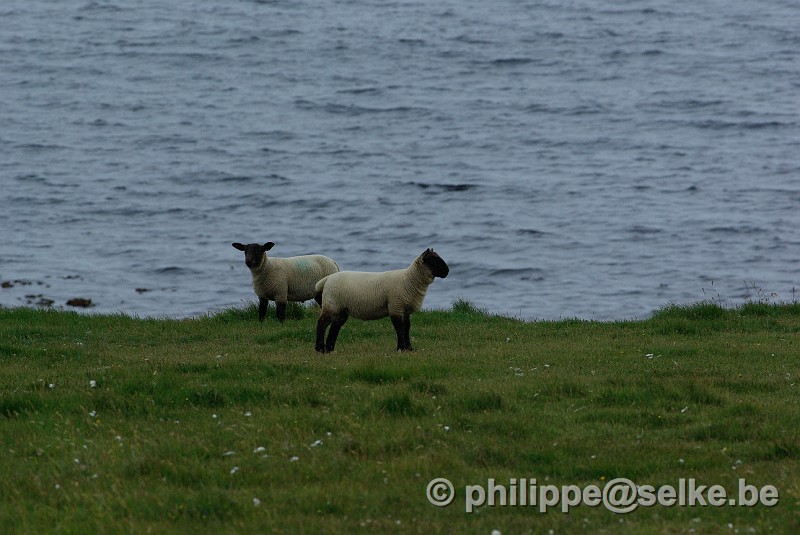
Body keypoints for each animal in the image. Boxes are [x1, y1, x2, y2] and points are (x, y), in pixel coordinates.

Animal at [314, 249, 450, 354]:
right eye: (433, 261)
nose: (447, 271)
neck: (409, 280)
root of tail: (327, 279)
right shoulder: (396, 307)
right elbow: (400, 329)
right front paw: (401, 348)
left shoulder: (405, 310)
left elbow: (407, 328)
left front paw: (409, 348)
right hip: (331, 305)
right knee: (321, 324)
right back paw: (320, 349)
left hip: (342, 309)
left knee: (335, 327)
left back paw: (330, 349)